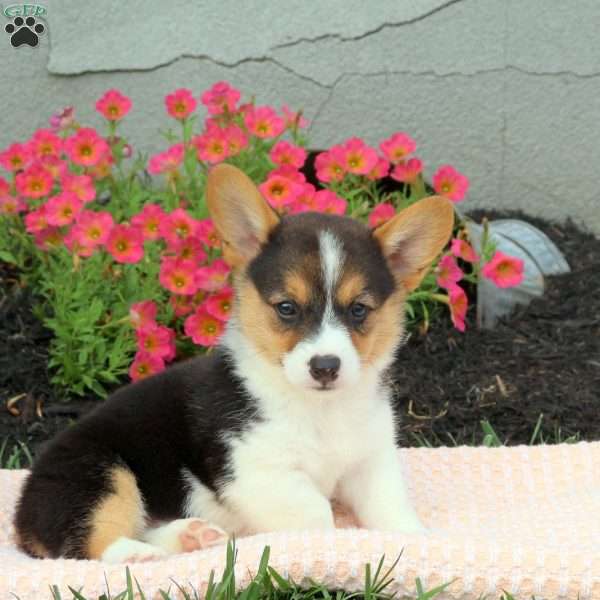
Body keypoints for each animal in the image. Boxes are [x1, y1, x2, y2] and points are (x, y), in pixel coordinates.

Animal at [12, 163, 454, 564]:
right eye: (287, 308)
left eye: (359, 310)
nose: (325, 366)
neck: (320, 408)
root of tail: (20, 515)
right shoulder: (255, 472)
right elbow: (318, 515)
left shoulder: (370, 464)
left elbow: (392, 509)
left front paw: (419, 542)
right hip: (99, 473)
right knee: (88, 541)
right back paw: (136, 556)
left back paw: (191, 536)